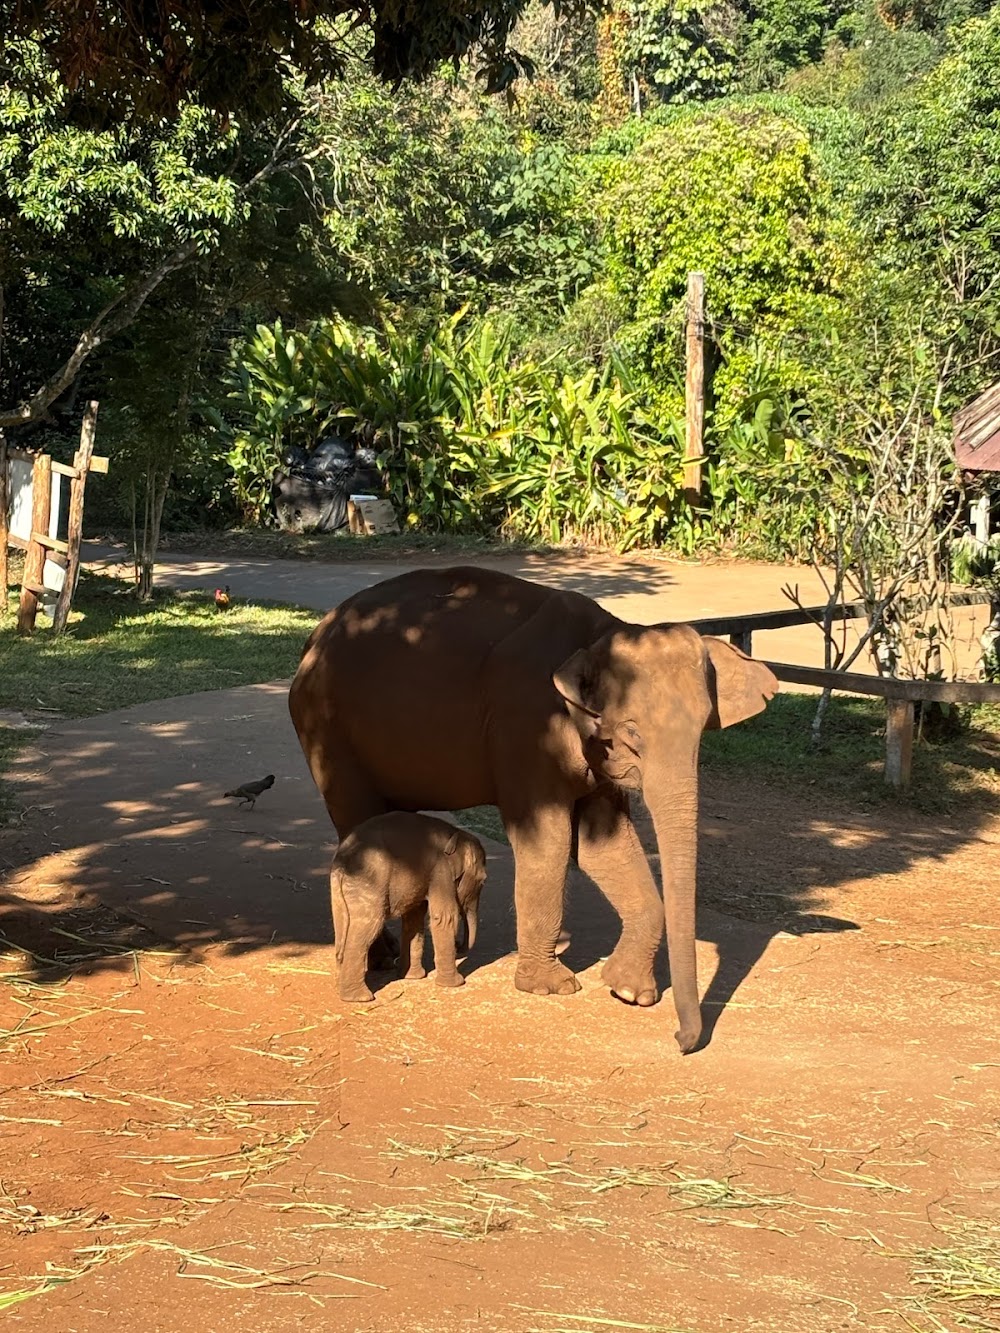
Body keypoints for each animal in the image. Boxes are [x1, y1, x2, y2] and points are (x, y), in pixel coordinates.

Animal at [333, 810, 490, 1002]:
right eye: (483, 881)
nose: (459, 944)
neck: (455, 833)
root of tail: (342, 863)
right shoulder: (441, 871)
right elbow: (444, 918)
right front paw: (456, 983)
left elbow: (414, 918)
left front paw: (412, 977)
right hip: (368, 885)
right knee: (369, 926)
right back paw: (360, 998)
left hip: (341, 893)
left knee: (342, 927)